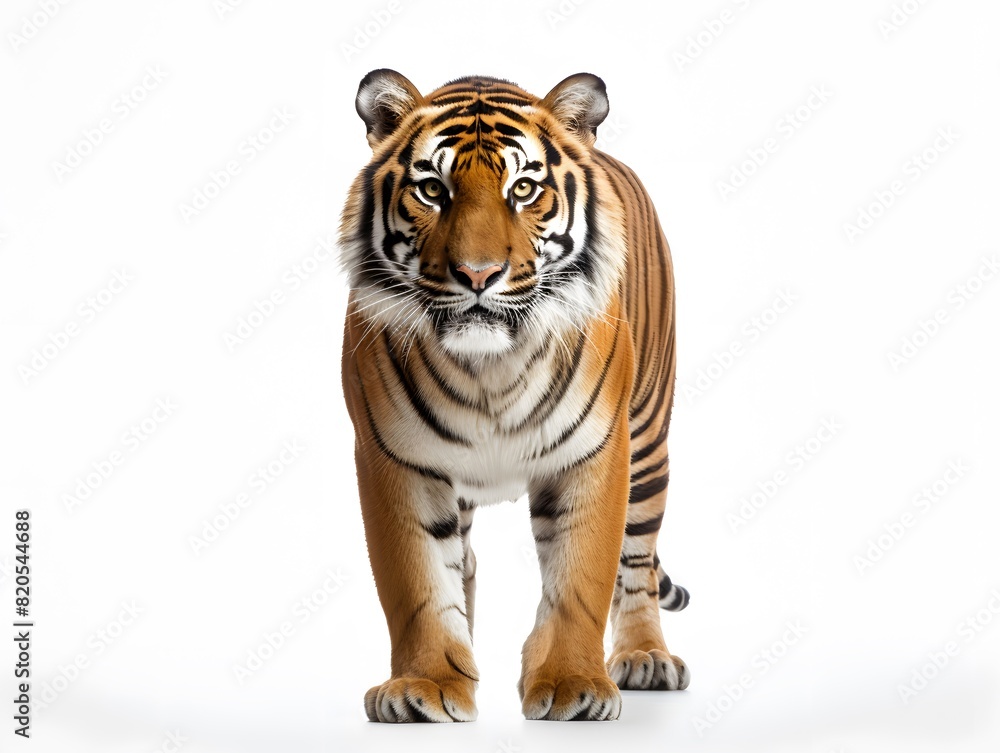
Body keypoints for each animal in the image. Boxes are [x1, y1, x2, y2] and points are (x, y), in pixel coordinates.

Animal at [339, 69, 690, 723]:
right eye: (432, 189)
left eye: (524, 189)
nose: (477, 275)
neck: (489, 369)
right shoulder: (396, 459)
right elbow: (419, 583)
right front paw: (425, 685)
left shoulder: (595, 454)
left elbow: (583, 577)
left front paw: (575, 685)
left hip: (649, 438)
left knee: (638, 562)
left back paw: (645, 658)